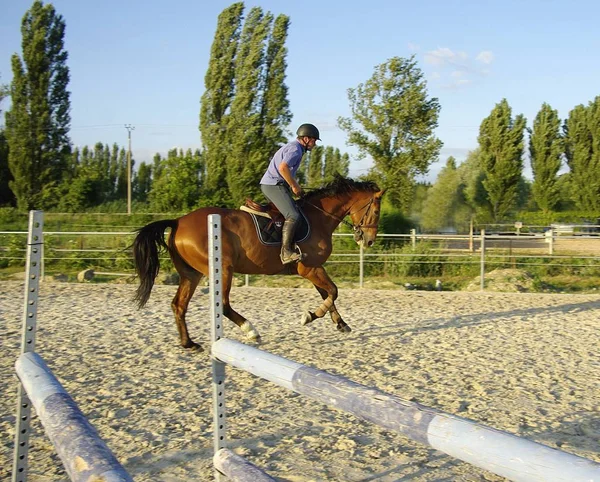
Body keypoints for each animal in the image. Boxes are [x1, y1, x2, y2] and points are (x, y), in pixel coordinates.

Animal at [131, 177, 384, 350]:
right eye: (375, 210)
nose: (369, 240)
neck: (319, 217)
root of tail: (178, 221)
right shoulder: (309, 268)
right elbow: (333, 291)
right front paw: (310, 316)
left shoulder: (313, 269)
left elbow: (328, 294)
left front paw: (340, 323)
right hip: (223, 269)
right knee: (223, 304)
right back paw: (250, 331)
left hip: (191, 274)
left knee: (179, 305)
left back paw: (188, 343)